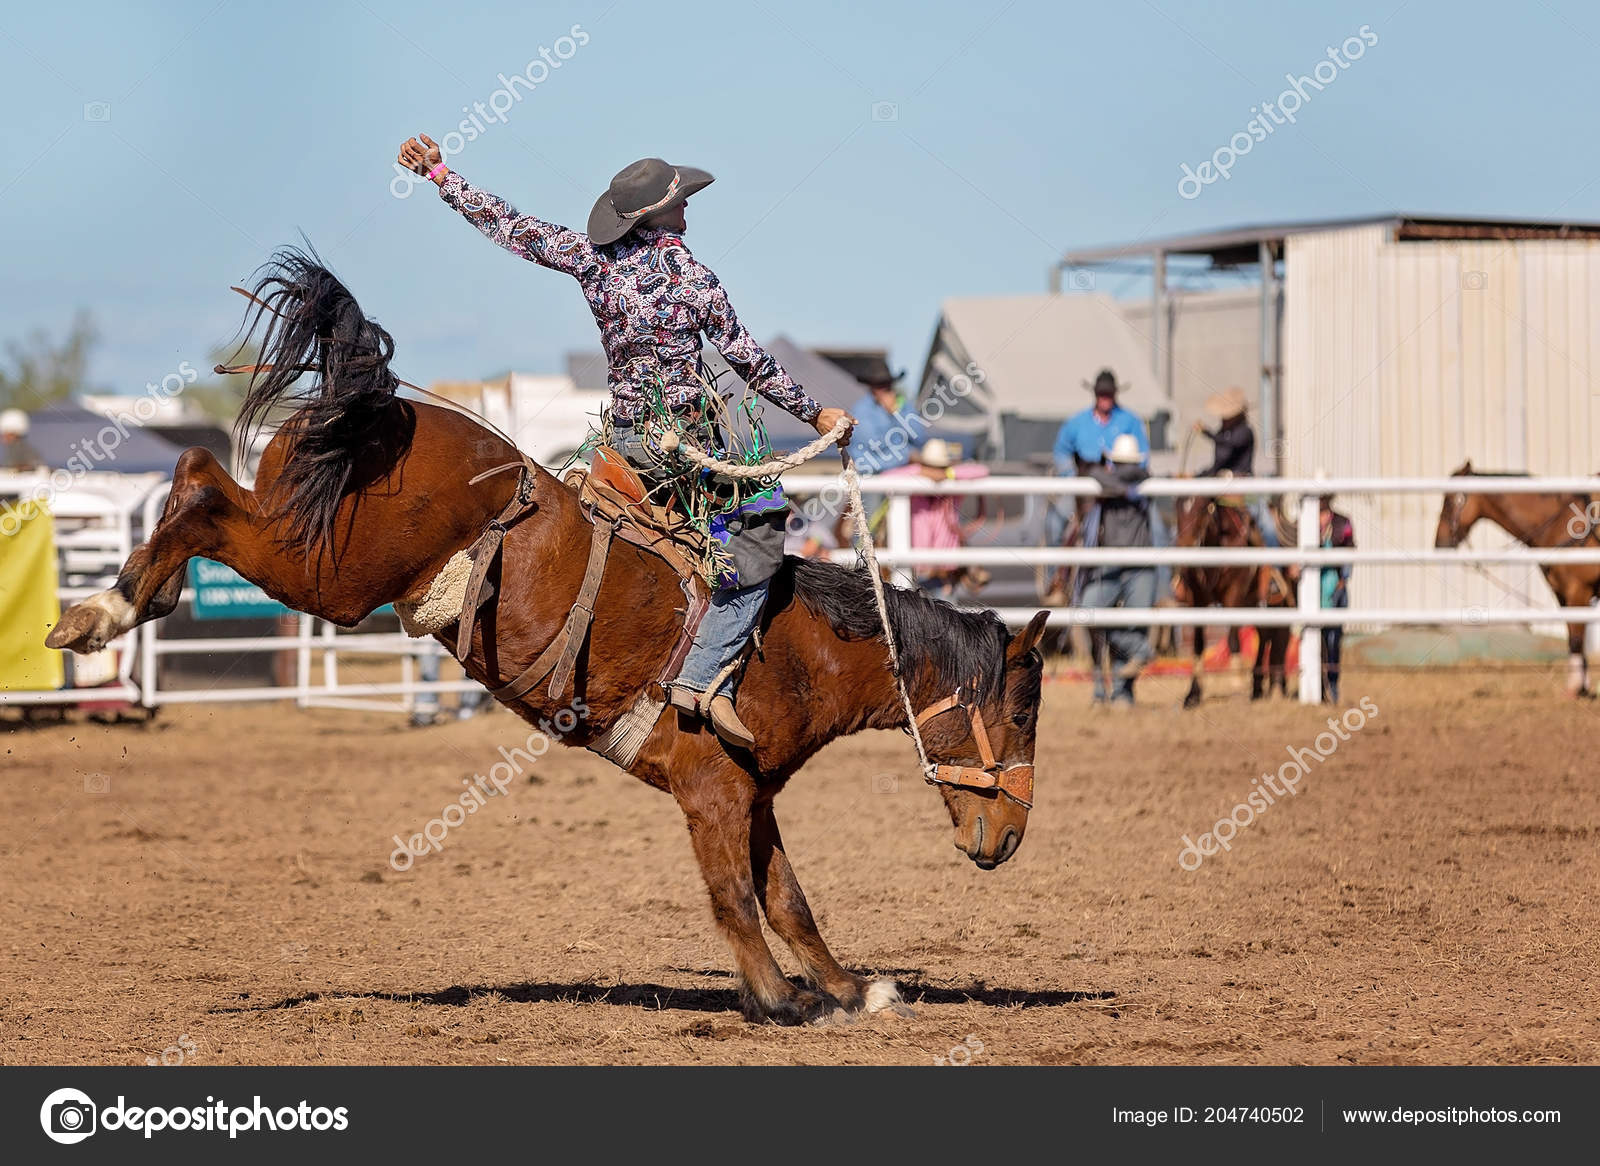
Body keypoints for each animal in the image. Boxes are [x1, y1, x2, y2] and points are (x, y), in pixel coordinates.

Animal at [46, 249, 1049, 1023]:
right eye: (1024, 713)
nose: (1008, 840)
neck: (793, 643)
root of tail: (385, 404)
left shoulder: (753, 792)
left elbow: (789, 900)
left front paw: (849, 989)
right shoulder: (711, 791)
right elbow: (734, 898)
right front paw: (776, 998)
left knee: (197, 467)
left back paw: (117, 602)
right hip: (330, 570)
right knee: (203, 489)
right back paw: (103, 612)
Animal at [1177, 489, 1299, 703]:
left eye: (1202, 509)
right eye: (1177, 508)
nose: (1185, 545)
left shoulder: (1233, 594)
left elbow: (1233, 639)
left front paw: (1237, 684)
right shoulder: (1197, 598)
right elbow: (1198, 644)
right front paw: (1193, 694)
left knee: (1279, 638)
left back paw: (1276, 686)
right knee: (1265, 635)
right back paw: (1259, 687)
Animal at [1440, 460, 1600, 697]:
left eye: (1450, 501)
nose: (1438, 542)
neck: (1560, 523)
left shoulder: (1578, 591)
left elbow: (1576, 638)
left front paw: (1574, 687)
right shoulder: (1561, 593)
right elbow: (1572, 633)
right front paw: (1582, 687)